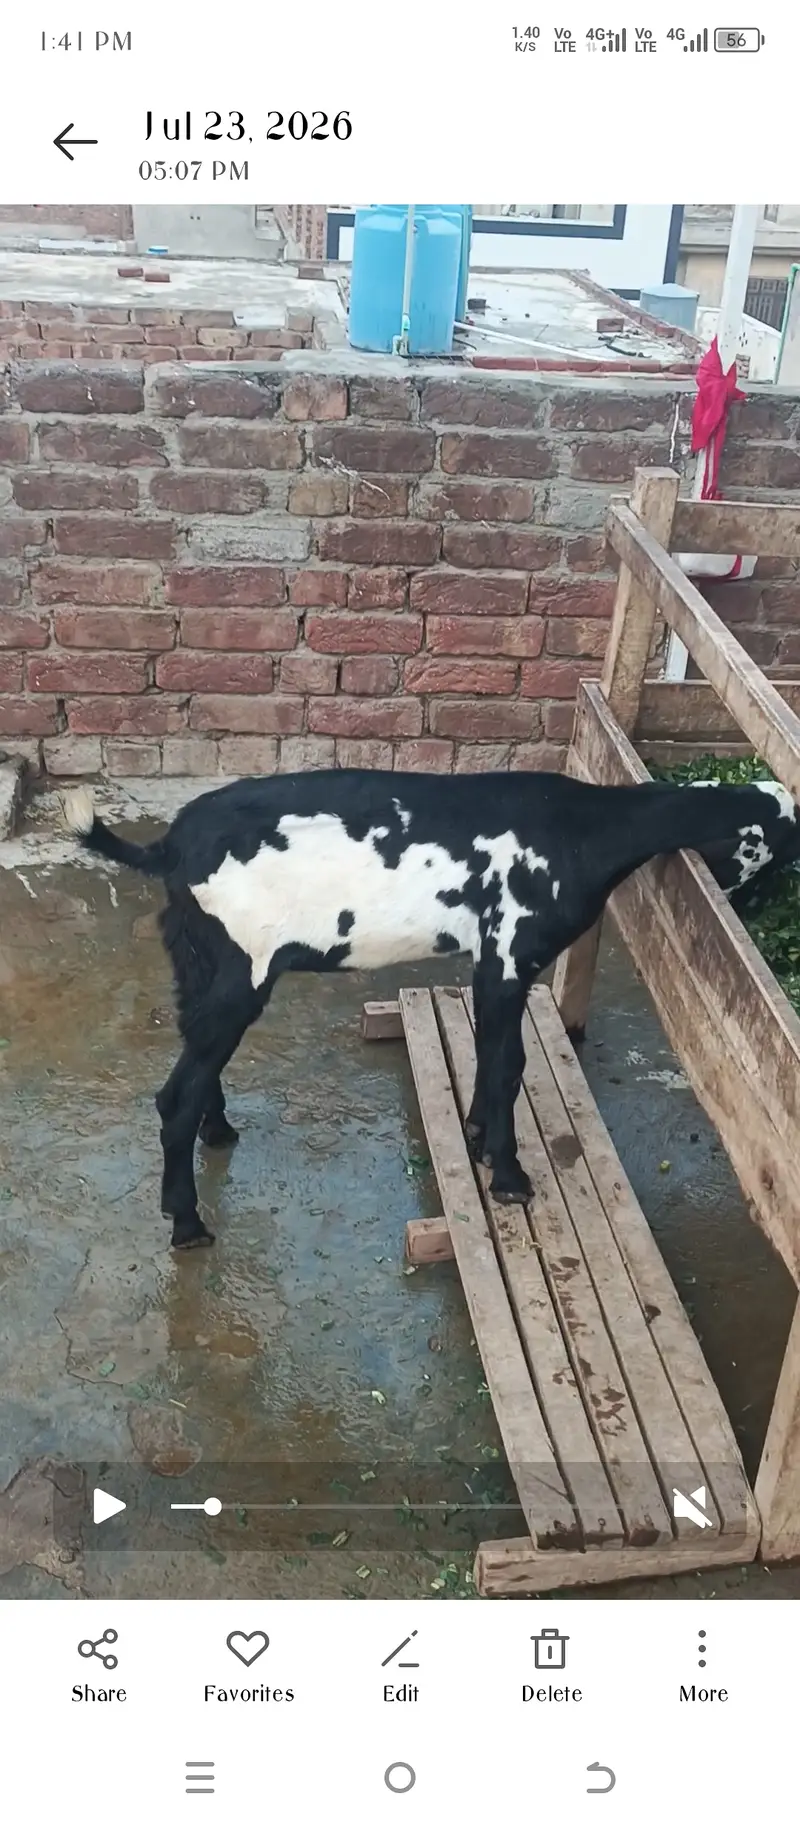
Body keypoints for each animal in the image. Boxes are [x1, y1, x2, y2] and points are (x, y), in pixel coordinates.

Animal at [63, 768, 800, 1251]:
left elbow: (495, 1053)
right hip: (242, 966)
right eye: (775, 849)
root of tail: (170, 848)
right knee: (174, 1094)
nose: (752, 910)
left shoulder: (488, 962)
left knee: (196, 1059)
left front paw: (475, 1138)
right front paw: (509, 1176)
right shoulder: (509, 956)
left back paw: (218, 1132)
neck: (580, 832)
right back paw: (187, 1224)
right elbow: (507, 1064)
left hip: (199, 964)